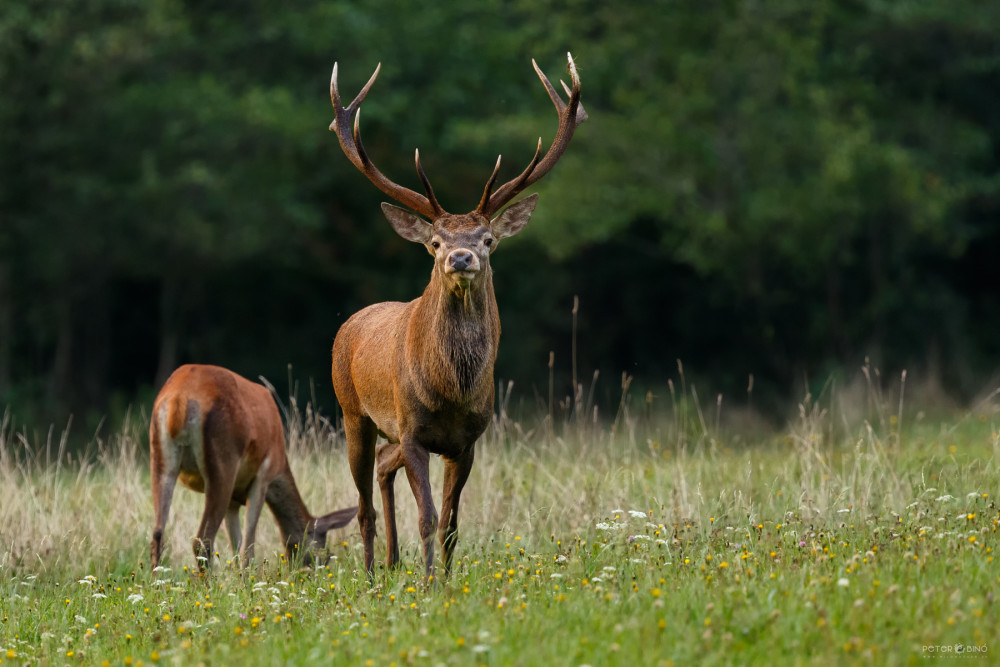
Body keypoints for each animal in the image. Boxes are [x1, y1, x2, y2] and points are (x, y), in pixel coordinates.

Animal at [146, 362, 354, 572]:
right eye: (324, 555)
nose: (310, 575)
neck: (281, 465)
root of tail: (179, 399)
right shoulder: (263, 476)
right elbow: (247, 548)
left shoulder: (234, 500)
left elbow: (237, 548)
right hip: (223, 462)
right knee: (202, 540)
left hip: (160, 460)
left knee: (157, 534)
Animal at [328, 54, 584, 576]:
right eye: (435, 241)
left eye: (488, 239)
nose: (461, 258)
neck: (451, 391)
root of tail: (350, 323)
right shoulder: (412, 429)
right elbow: (427, 516)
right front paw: (429, 583)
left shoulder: (466, 441)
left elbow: (450, 523)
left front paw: (445, 580)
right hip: (352, 411)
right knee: (363, 505)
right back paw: (371, 573)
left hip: (386, 432)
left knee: (382, 466)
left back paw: (392, 563)